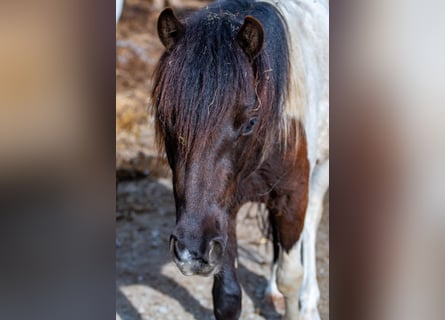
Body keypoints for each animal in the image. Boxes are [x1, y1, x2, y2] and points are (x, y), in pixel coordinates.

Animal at [151, 1, 328, 318]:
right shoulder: (225, 211)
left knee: (311, 224)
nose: (191, 252)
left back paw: (309, 303)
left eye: (250, 123)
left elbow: (290, 277)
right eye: (166, 119)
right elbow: (228, 296)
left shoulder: (293, 197)